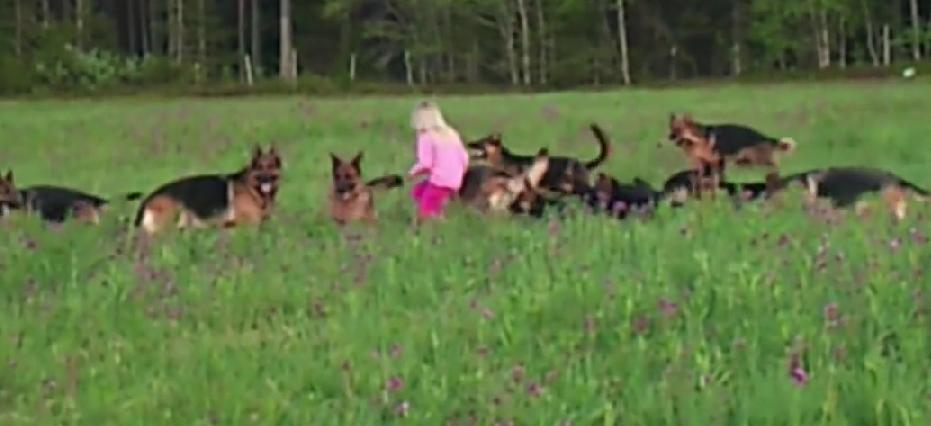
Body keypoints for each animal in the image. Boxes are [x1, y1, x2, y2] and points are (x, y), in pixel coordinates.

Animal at [133, 145, 282, 235]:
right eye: (260, 167)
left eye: (270, 166)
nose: (265, 179)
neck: (251, 189)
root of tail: (149, 197)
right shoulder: (249, 226)